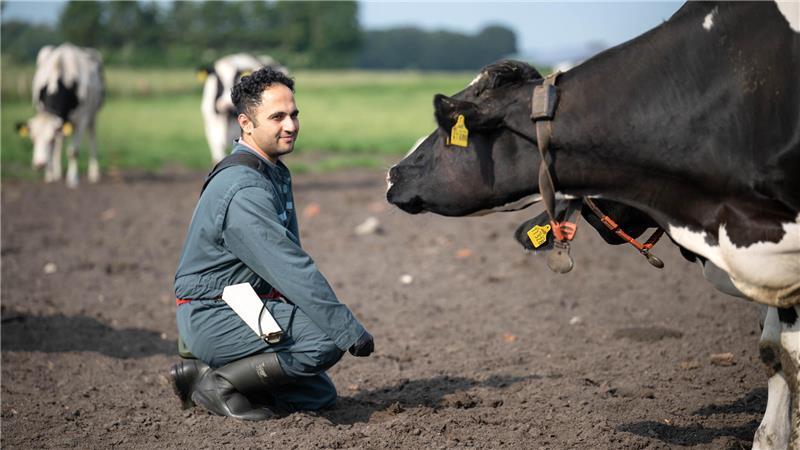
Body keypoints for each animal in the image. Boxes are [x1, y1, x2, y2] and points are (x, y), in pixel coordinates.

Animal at [17, 43, 104, 187]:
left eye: (50, 139)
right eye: (32, 138)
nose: (39, 164)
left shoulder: (81, 120)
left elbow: (73, 151)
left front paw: (72, 179)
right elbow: (54, 149)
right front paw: (49, 175)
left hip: (92, 115)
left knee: (92, 138)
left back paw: (94, 174)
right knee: (61, 142)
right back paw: (57, 172)